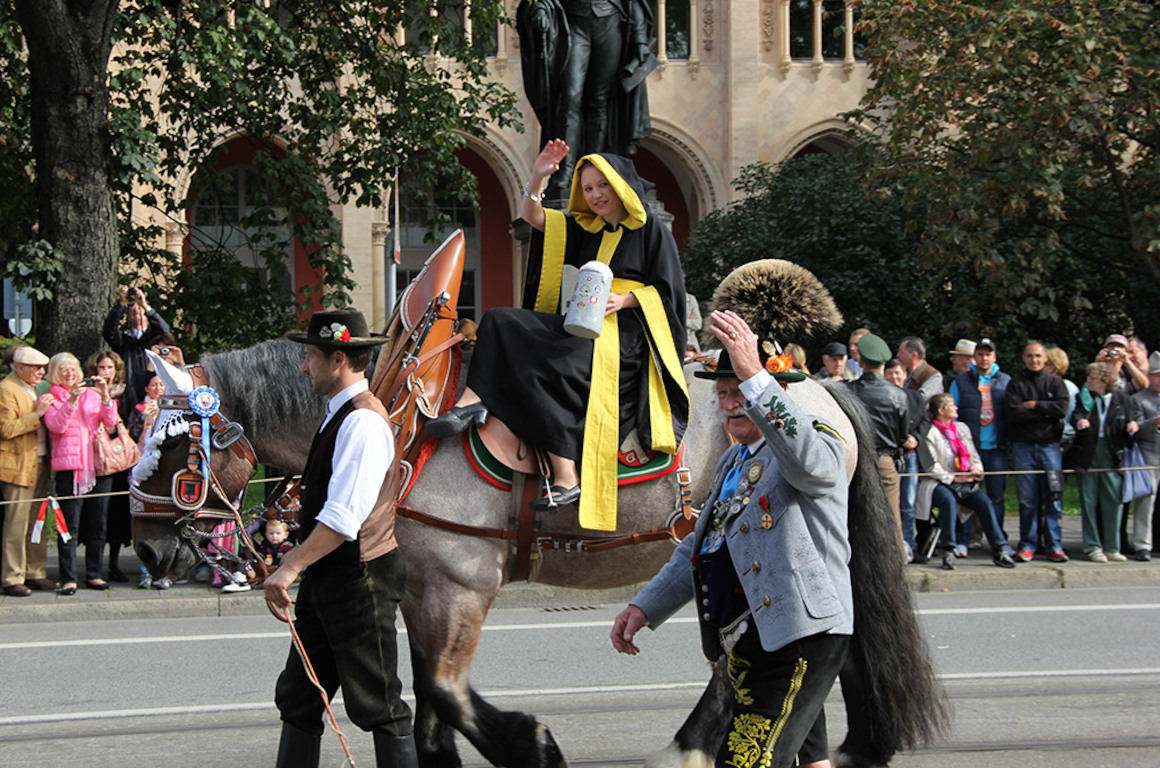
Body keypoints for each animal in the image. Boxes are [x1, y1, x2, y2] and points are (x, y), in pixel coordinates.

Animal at [131, 338, 946, 768]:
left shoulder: (461, 585)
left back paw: (692, 748)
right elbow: (428, 707)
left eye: (169, 442)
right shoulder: (417, 589)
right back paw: (828, 746)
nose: (143, 543)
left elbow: (447, 693)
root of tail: (814, 386)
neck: (401, 430)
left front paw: (532, 742)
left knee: (749, 665)